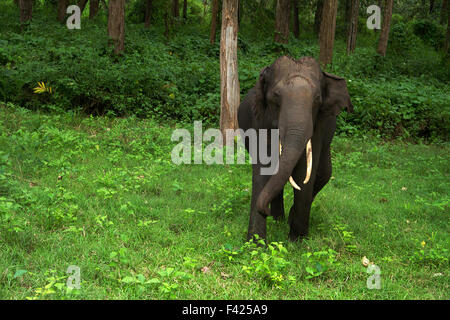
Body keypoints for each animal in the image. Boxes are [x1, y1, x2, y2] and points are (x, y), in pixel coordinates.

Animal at [237, 55, 354, 241]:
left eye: (317, 99)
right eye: (276, 97)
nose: (266, 212)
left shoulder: (318, 127)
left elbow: (304, 172)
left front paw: (297, 240)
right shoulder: (259, 119)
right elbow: (263, 169)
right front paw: (255, 244)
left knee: (325, 173)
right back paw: (278, 219)